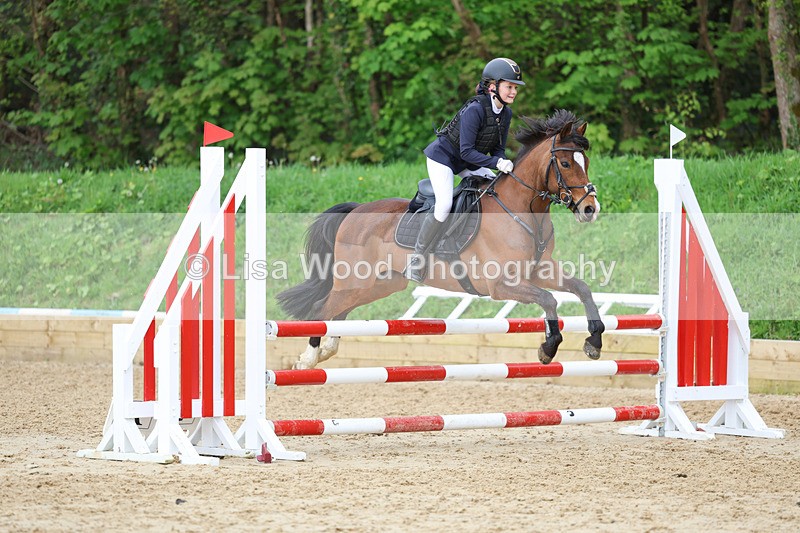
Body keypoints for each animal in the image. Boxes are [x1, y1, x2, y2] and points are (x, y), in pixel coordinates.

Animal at [277, 109, 604, 369]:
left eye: (586, 161)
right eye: (565, 164)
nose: (590, 209)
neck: (523, 211)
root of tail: (356, 210)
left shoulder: (538, 270)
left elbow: (581, 288)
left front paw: (594, 341)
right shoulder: (501, 284)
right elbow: (549, 299)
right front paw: (548, 348)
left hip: (379, 284)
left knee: (338, 312)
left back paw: (326, 351)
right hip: (354, 281)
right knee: (321, 310)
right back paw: (308, 359)